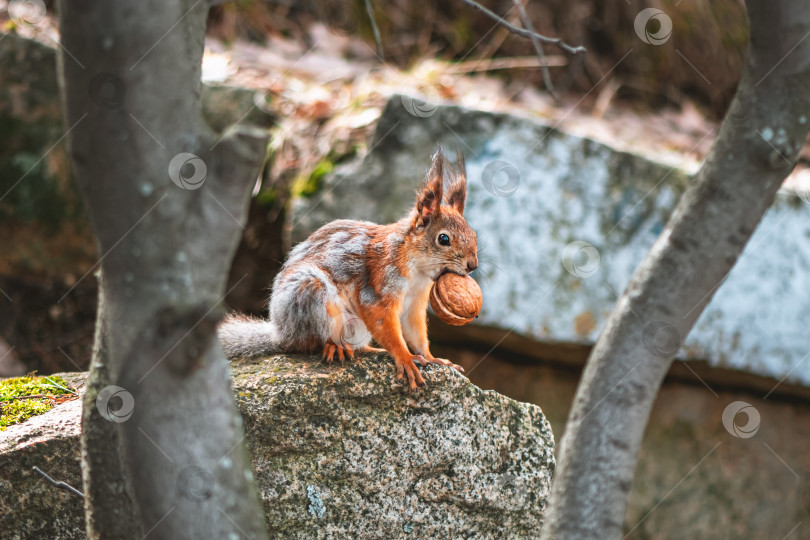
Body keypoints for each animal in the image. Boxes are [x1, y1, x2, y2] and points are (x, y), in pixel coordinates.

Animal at [218, 148, 476, 390]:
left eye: (473, 234)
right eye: (443, 239)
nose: (472, 265)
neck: (418, 269)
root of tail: (280, 333)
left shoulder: (415, 302)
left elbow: (416, 332)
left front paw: (433, 358)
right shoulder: (379, 285)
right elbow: (385, 325)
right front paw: (405, 358)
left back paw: (370, 350)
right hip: (309, 294)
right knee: (309, 343)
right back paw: (334, 347)